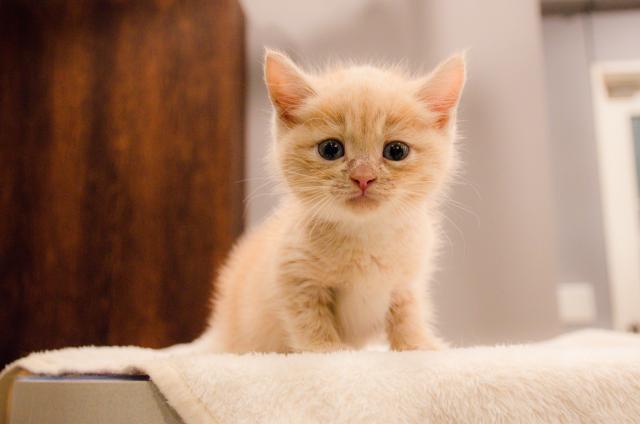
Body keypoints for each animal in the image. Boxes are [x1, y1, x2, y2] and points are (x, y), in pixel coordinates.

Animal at [200, 49, 465, 353]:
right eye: (330, 149)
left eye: (396, 151)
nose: (363, 177)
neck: (365, 237)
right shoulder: (294, 273)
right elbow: (308, 316)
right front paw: (326, 348)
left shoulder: (407, 281)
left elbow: (408, 313)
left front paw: (418, 345)